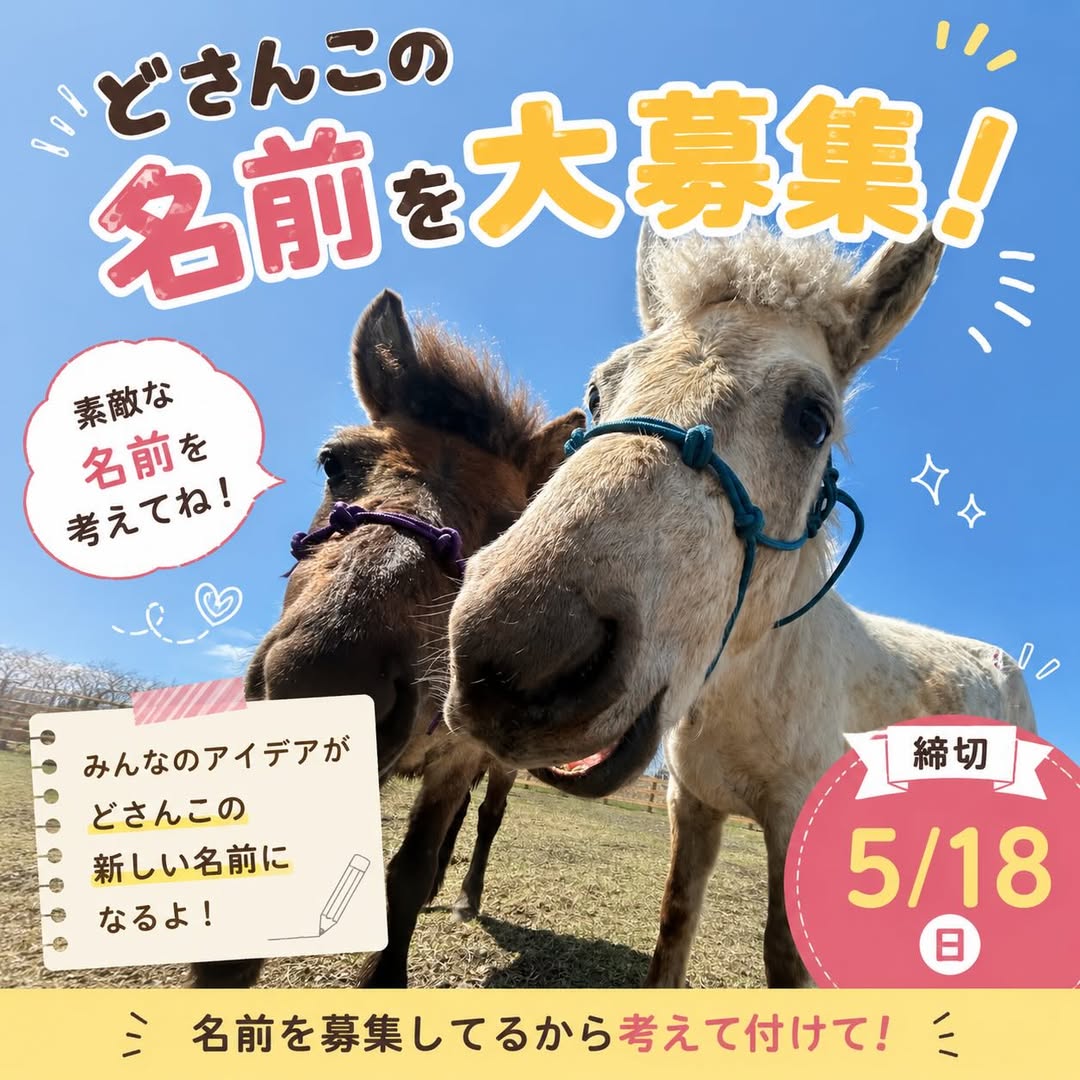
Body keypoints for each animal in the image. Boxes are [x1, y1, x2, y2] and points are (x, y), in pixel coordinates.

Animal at [191, 288, 582, 988]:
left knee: (483, 821)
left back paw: (464, 898)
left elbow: (409, 870)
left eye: (510, 524)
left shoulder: (454, 762)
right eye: (333, 463)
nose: (326, 681)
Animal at [442, 222, 1036, 988]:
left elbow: (786, 959)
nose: (519, 654)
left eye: (813, 421)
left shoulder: (791, 822)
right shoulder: (690, 807)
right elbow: (673, 927)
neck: (748, 687)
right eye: (598, 392)